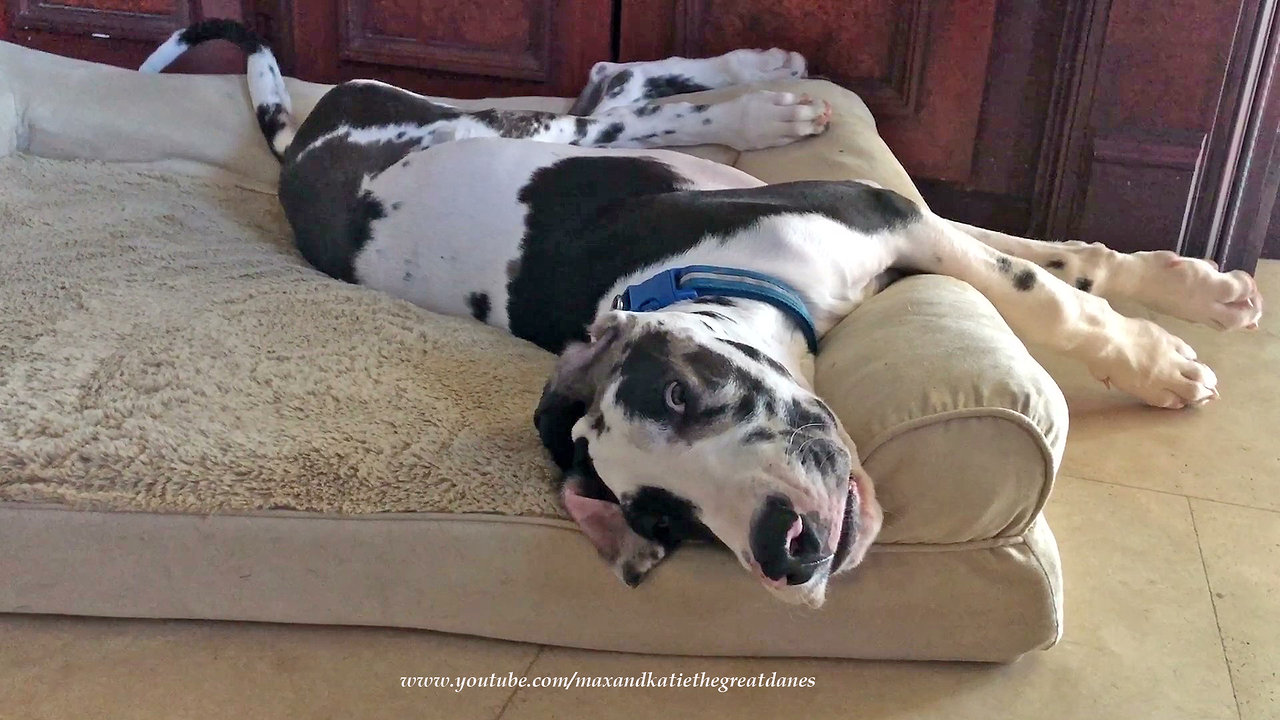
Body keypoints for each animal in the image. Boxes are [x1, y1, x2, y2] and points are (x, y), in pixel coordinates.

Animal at [145, 20, 1264, 604]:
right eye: (661, 518)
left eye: (686, 396)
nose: (786, 549)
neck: (712, 277)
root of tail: (303, 142)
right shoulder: (897, 230)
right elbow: (1049, 270)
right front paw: (1172, 320)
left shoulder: (888, 216)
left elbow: (1051, 284)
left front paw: (1174, 333)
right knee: (618, 93)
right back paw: (768, 93)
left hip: (514, 126)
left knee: (611, 87)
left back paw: (767, 90)